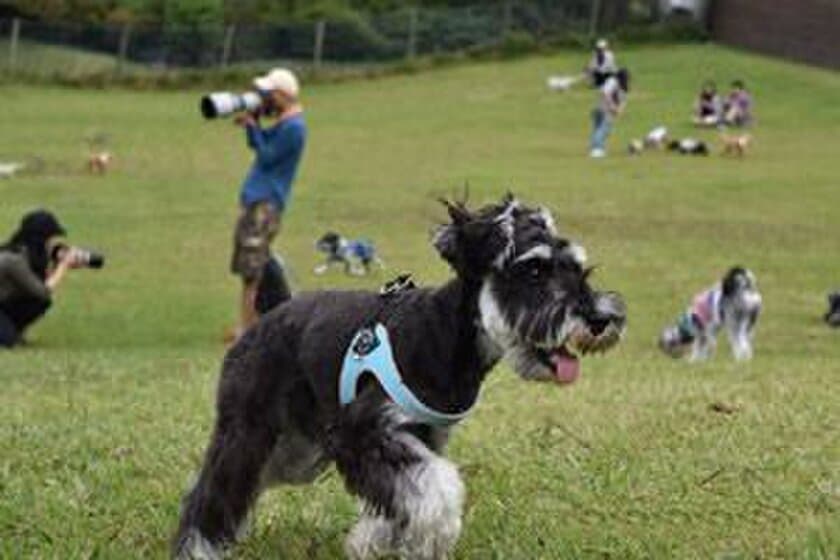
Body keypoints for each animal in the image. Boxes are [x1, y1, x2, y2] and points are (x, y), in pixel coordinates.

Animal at [174, 195, 628, 556]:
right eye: (534, 271)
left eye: (578, 268)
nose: (600, 320)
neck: (445, 333)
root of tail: (271, 313)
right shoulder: (362, 432)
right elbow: (438, 491)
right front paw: (433, 534)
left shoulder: (419, 437)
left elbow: (405, 496)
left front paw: (372, 541)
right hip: (250, 428)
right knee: (214, 487)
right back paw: (199, 547)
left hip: (298, 451)